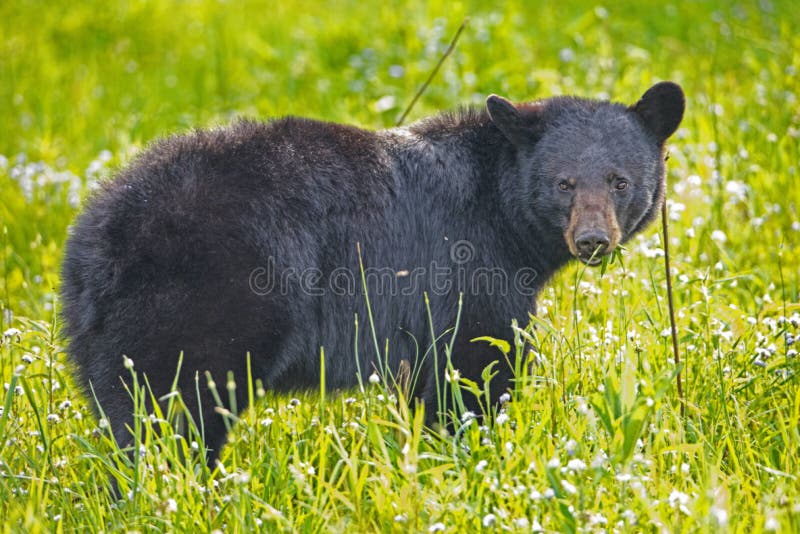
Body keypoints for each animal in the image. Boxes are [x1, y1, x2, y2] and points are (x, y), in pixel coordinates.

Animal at [61, 81, 688, 462]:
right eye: (563, 183)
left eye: (620, 181)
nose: (593, 240)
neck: (500, 211)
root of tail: (98, 237)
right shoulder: (465, 266)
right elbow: (476, 362)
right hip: (197, 308)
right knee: (172, 413)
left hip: (102, 335)